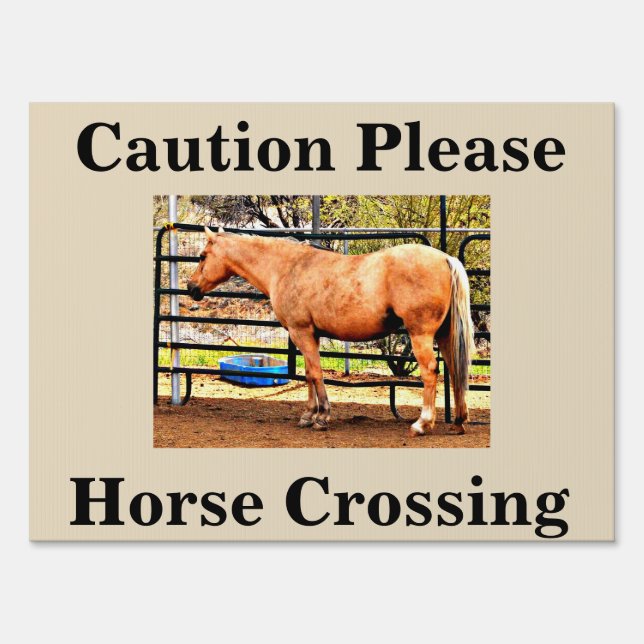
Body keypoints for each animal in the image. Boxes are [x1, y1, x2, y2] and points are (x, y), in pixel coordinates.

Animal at [187, 227, 474, 436]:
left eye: (202, 256)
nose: (191, 287)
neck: (287, 267)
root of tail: (445, 258)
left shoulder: (301, 332)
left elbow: (316, 373)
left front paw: (322, 416)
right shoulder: (309, 335)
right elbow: (309, 374)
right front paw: (308, 414)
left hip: (420, 335)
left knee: (430, 371)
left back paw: (422, 424)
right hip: (445, 335)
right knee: (454, 369)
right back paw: (459, 421)